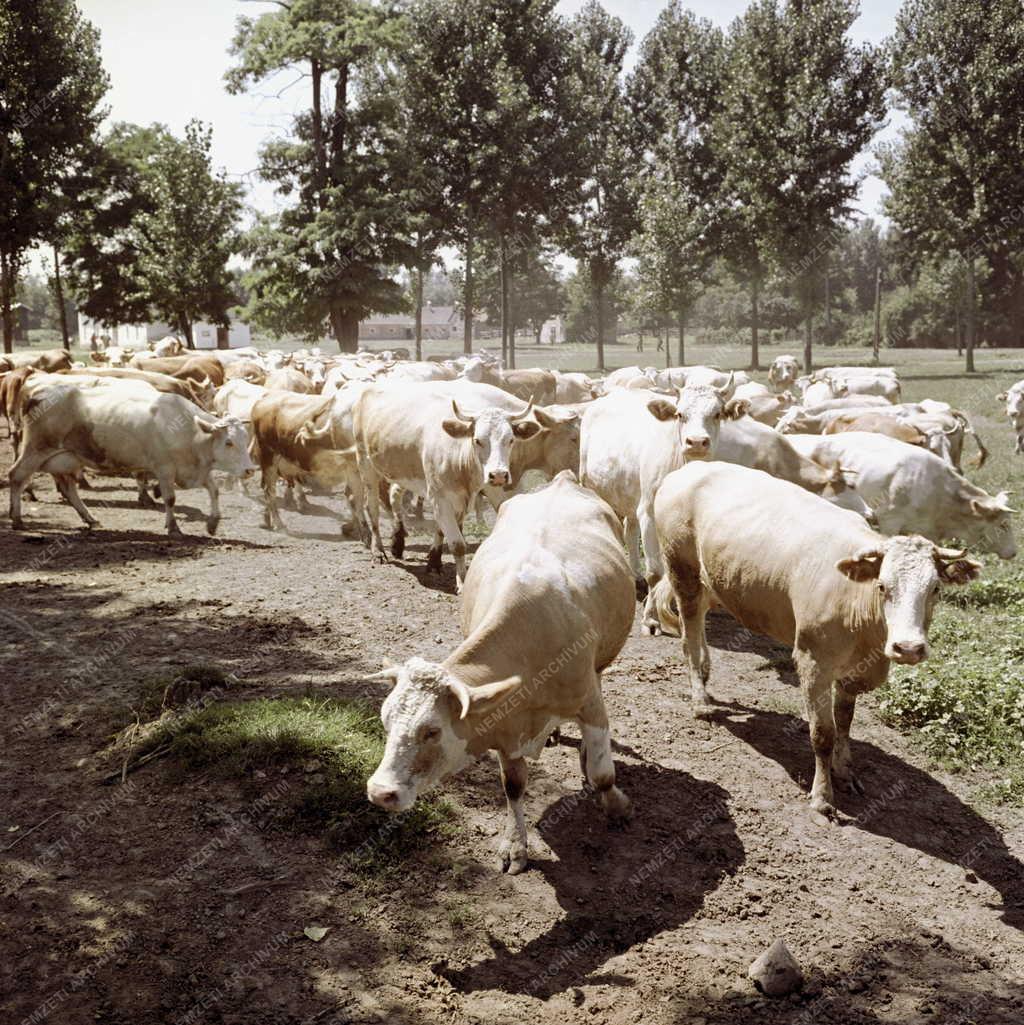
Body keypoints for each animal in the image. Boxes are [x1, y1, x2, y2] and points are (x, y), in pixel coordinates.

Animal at [364, 469, 635, 869]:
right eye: (385, 721)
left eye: (432, 731)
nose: (380, 792)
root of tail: (563, 479)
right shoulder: (505, 722)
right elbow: (514, 787)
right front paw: (514, 845)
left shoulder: (588, 701)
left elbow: (603, 772)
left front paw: (616, 806)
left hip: (600, 663)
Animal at [651, 461, 979, 820]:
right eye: (882, 586)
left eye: (935, 588)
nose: (908, 648)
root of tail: (693, 467)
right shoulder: (813, 660)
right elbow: (823, 733)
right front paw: (823, 795)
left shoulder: (855, 670)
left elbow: (845, 723)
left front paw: (845, 771)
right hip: (683, 573)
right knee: (689, 636)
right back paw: (700, 700)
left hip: (711, 582)